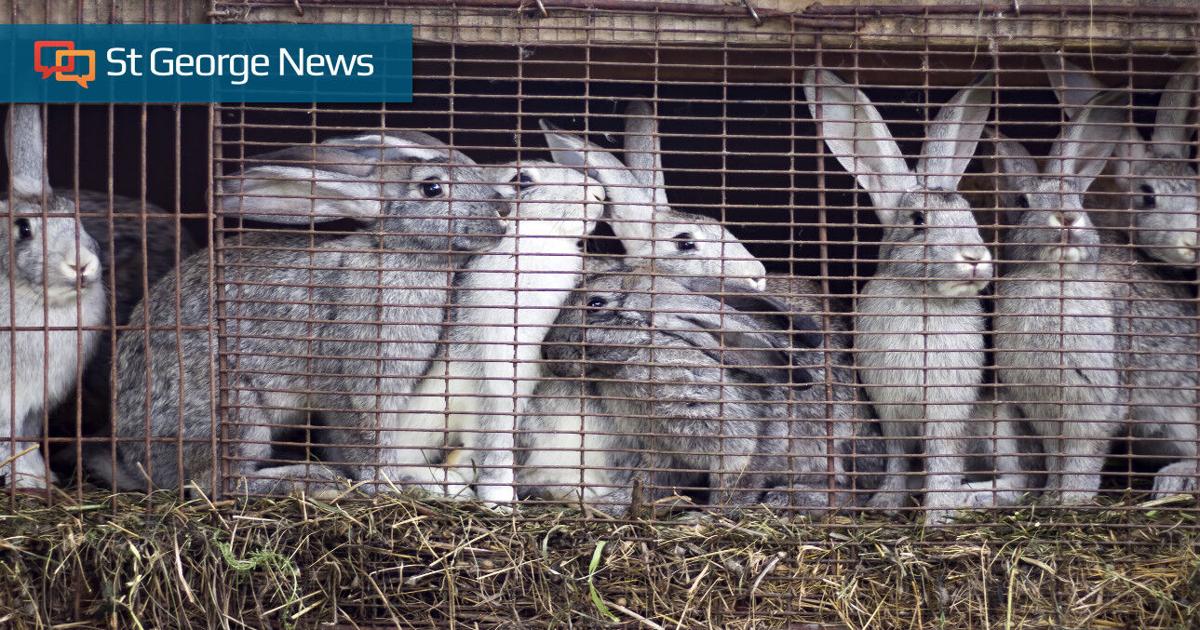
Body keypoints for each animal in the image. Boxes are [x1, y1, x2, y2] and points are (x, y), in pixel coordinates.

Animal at [0, 104, 105, 489]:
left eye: (76, 216)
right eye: (24, 228)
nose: (81, 264)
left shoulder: (33, 404)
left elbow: (25, 438)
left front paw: (40, 476)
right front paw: (26, 482)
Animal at [90, 132, 509, 495]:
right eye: (432, 189)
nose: (503, 208)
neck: (395, 255)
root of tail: (139, 460)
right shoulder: (354, 381)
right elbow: (367, 439)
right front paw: (388, 485)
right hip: (235, 411)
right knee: (217, 483)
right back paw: (312, 480)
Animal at [517, 266, 838, 515]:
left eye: (595, 303)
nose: (548, 352)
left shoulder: (736, 442)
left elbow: (735, 485)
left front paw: (706, 517)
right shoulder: (661, 453)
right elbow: (647, 484)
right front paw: (611, 506)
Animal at [805, 69, 995, 525]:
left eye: (970, 215)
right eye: (918, 221)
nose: (974, 257)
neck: (924, 299)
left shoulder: (947, 410)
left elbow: (943, 459)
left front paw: (938, 515)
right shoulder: (889, 408)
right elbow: (897, 456)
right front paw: (886, 504)